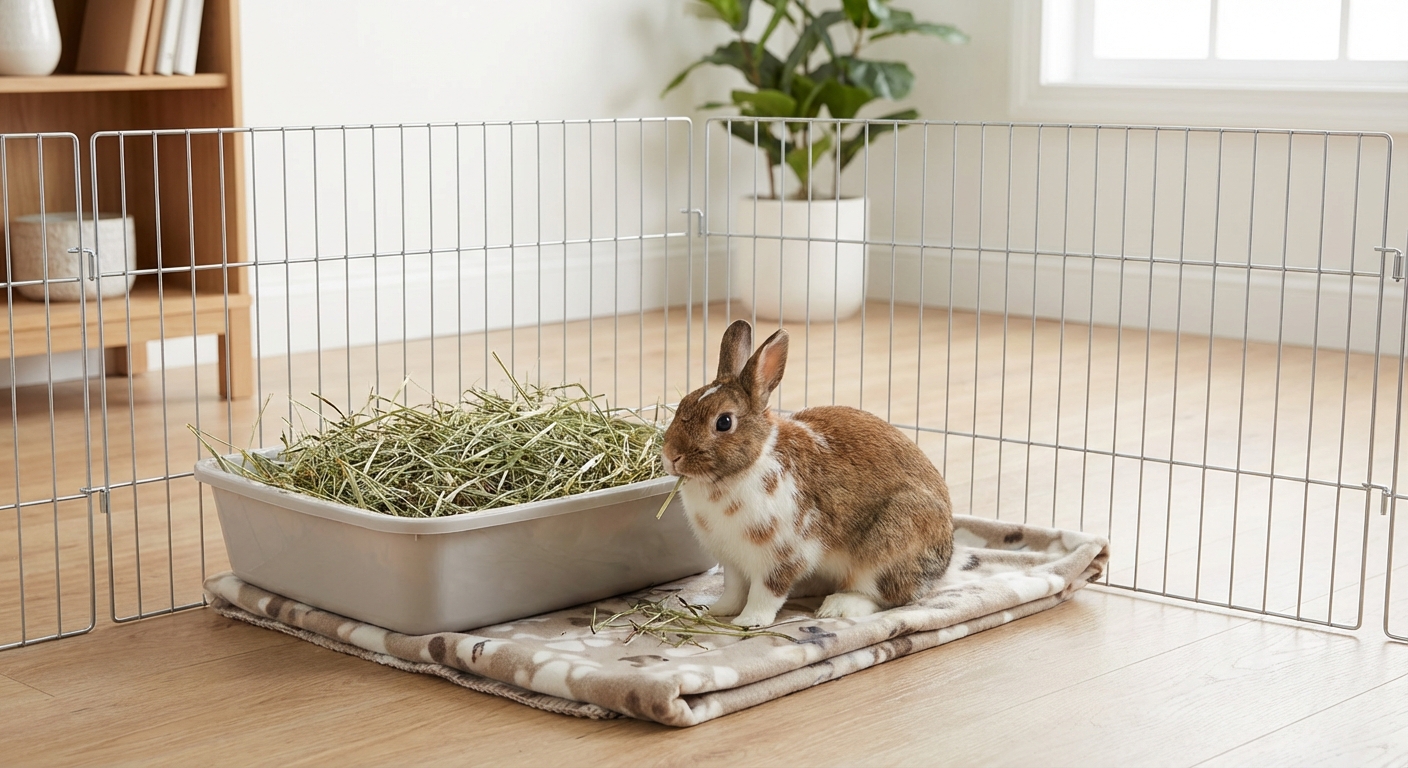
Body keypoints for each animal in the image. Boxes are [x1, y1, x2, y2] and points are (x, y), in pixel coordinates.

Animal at [660, 319, 954, 628]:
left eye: (724, 422)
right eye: (684, 403)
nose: (671, 457)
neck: (748, 464)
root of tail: (945, 559)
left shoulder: (783, 557)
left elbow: (766, 593)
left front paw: (748, 622)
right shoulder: (733, 561)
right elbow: (734, 590)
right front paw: (718, 611)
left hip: (887, 548)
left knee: (884, 596)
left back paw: (836, 608)